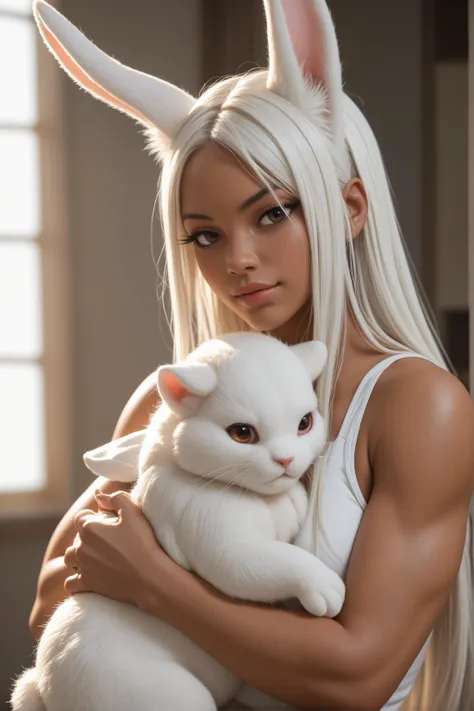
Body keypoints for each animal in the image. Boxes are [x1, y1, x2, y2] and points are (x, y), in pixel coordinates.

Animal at [11, 334, 344, 711]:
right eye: (242, 433)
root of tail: (45, 689)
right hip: (169, 695)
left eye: (305, 423)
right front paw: (323, 585)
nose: (286, 460)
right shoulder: (227, 548)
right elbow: (277, 562)